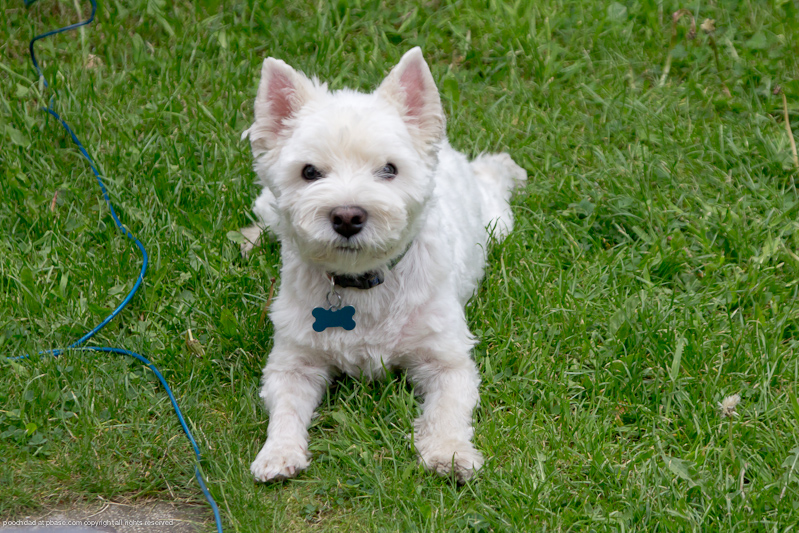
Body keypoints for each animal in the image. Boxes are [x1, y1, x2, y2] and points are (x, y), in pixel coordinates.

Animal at [241, 48, 528, 482]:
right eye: (309, 172)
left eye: (389, 169)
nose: (347, 216)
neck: (363, 284)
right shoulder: (293, 361)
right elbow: (285, 409)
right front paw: (278, 453)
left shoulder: (447, 360)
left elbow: (448, 409)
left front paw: (449, 452)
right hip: (269, 210)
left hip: (496, 224)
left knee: (493, 180)